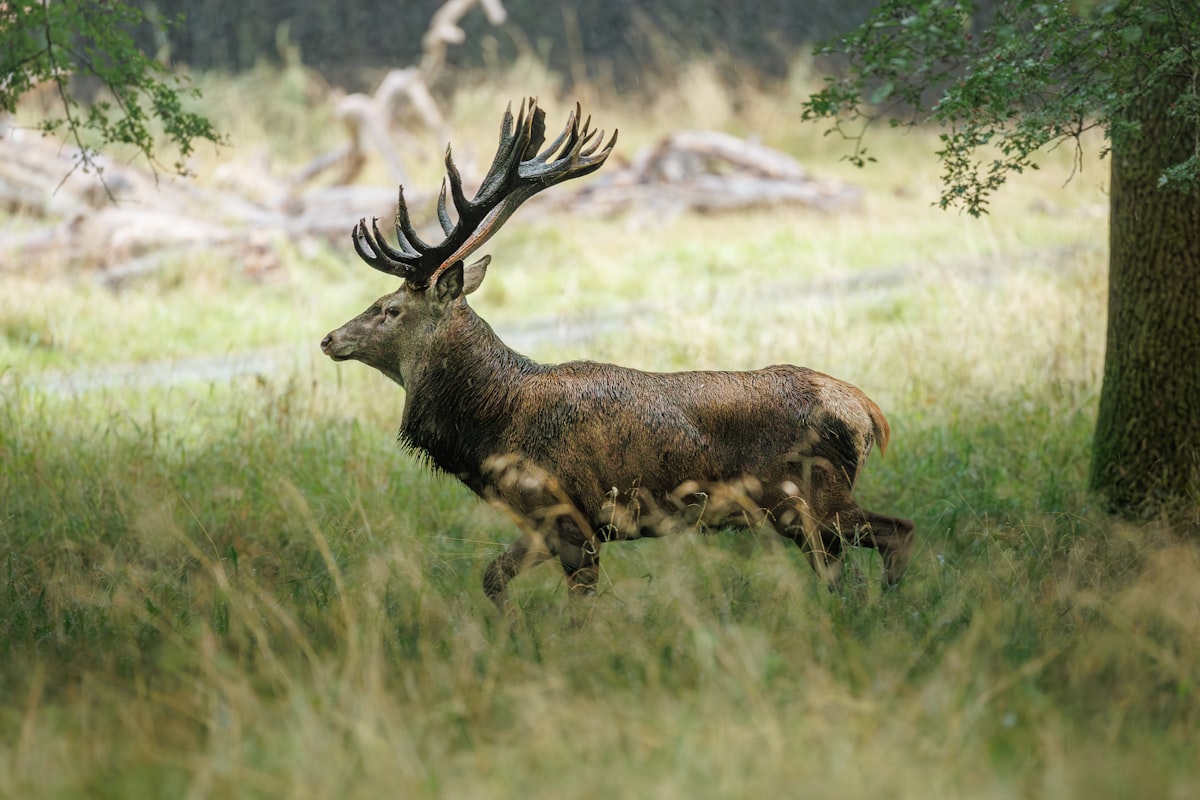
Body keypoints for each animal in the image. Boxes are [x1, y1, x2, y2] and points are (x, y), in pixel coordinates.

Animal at [320, 99, 915, 612]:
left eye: (391, 308)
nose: (329, 338)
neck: (492, 426)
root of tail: (868, 413)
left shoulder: (571, 514)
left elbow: (576, 606)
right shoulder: (541, 525)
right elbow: (492, 578)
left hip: (813, 496)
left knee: (898, 533)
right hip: (805, 513)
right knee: (847, 569)